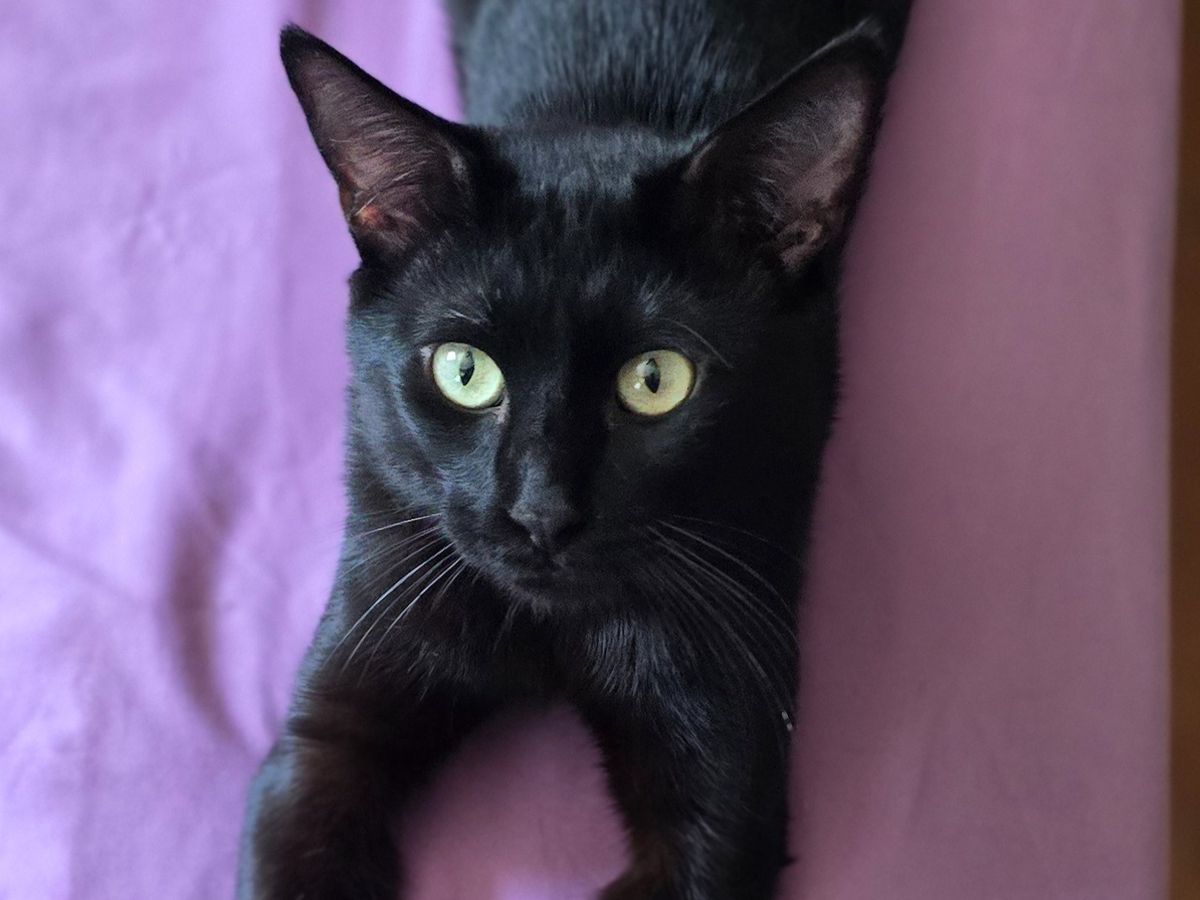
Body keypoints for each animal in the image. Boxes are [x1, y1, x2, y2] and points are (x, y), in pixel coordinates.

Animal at [239, 2, 910, 898]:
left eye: (656, 380)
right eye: (464, 371)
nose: (541, 512)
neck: (548, 635)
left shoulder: (723, 762)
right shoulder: (334, 715)